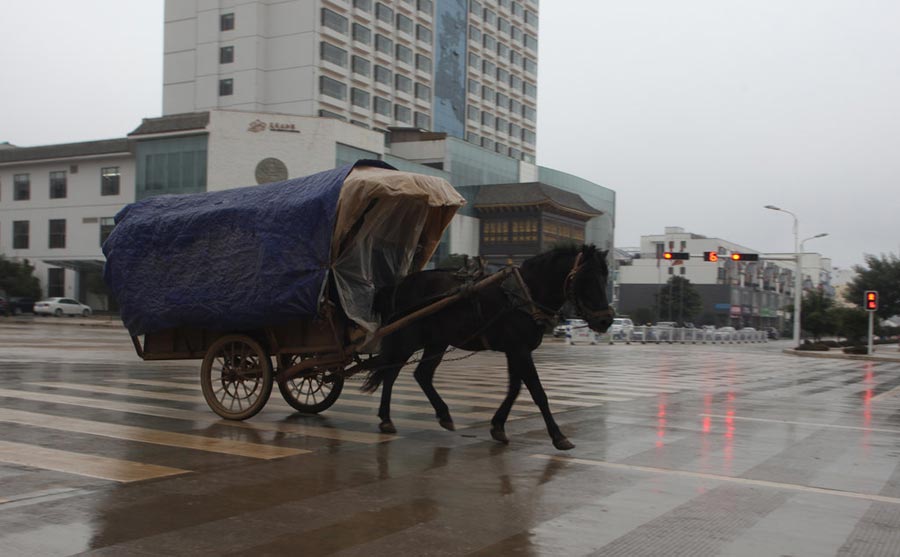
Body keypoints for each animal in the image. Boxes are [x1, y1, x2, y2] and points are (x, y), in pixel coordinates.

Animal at [362, 243, 616, 448]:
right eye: (587, 278)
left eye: (605, 278)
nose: (606, 320)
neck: (525, 294)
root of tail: (399, 284)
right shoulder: (520, 350)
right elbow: (537, 391)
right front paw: (558, 436)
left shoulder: (515, 351)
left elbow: (514, 388)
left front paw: (498, 426)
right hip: (407, 338)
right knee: (391, 373)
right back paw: (387, 419)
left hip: (437, 341)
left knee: (421, 374)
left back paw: (443, 415)